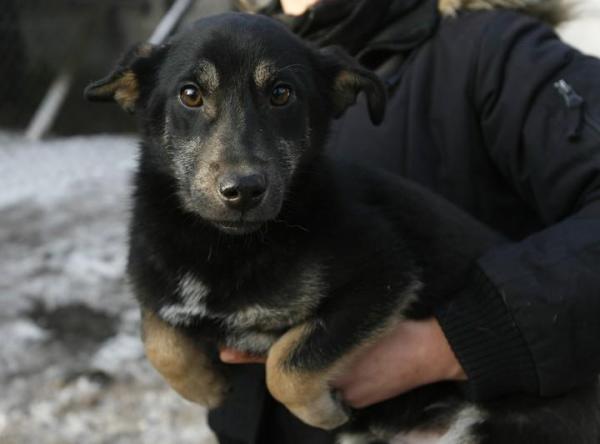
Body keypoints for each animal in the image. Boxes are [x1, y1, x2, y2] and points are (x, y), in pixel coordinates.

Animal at [85, 12, 600, 444]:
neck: (224, 242)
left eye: (281, 94)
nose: (243, 190)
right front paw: (207, 386)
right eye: (190, 94)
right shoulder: (155, 280)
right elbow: (159, 336)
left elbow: (286, 363)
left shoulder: (384, 273)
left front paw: (323, 411)